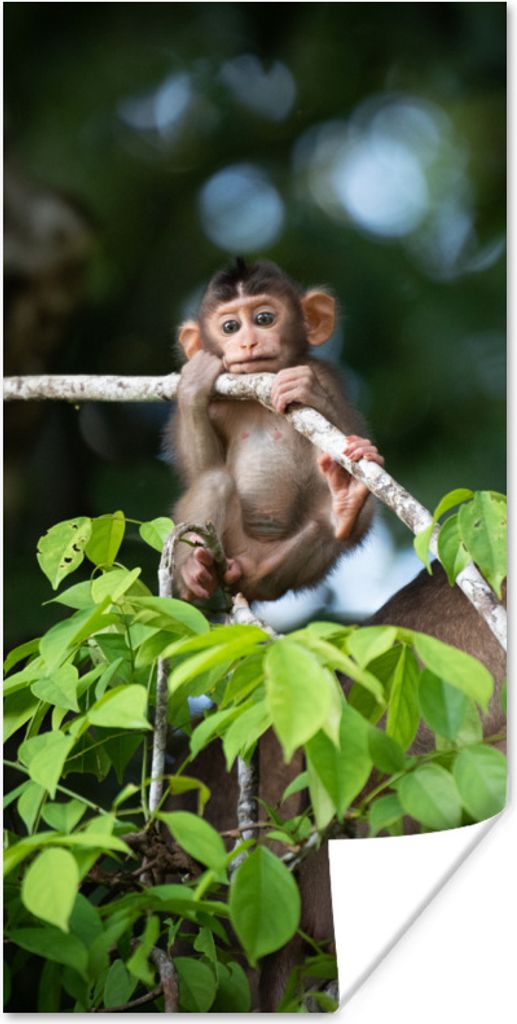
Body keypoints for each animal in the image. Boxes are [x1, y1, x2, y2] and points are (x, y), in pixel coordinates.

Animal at [167, 259, 384, 603]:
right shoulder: (215, 401)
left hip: (277, 568)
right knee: (214, 480)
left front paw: (307, 390)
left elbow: (339, 432)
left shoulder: (325, 374)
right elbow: (199, 468)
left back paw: (345, 508)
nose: (249, 342)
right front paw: (193, 385)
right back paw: (194, 575)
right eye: (230, 327)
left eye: (264, 319)